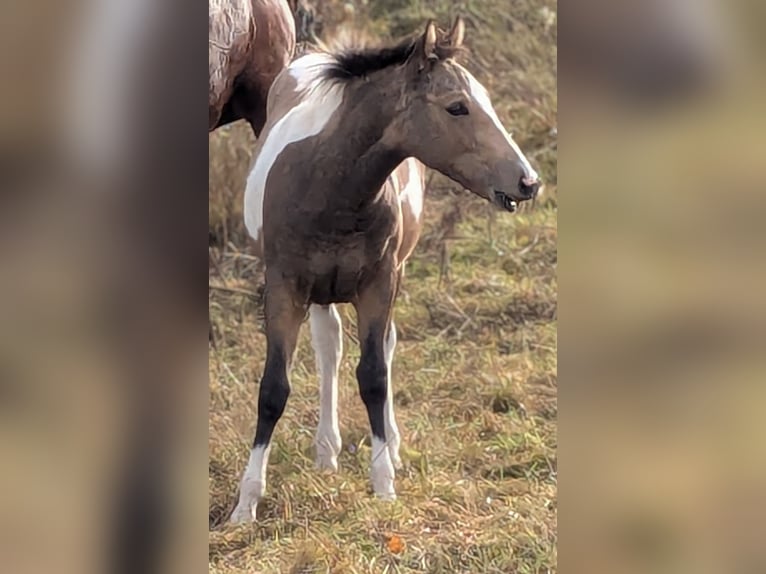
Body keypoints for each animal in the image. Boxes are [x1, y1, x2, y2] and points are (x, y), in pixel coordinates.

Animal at [230, 17, 541, 522]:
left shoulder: (379, 283)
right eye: (457, 107)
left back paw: (383, 447)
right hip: (319, 290)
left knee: (380, 349)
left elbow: (375, 376)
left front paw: (383, 483)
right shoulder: (282, 288)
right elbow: (273, 388)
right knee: (329, 347)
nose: (528, 181)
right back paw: (326, 451)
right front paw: (246, 504)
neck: (329, 189)